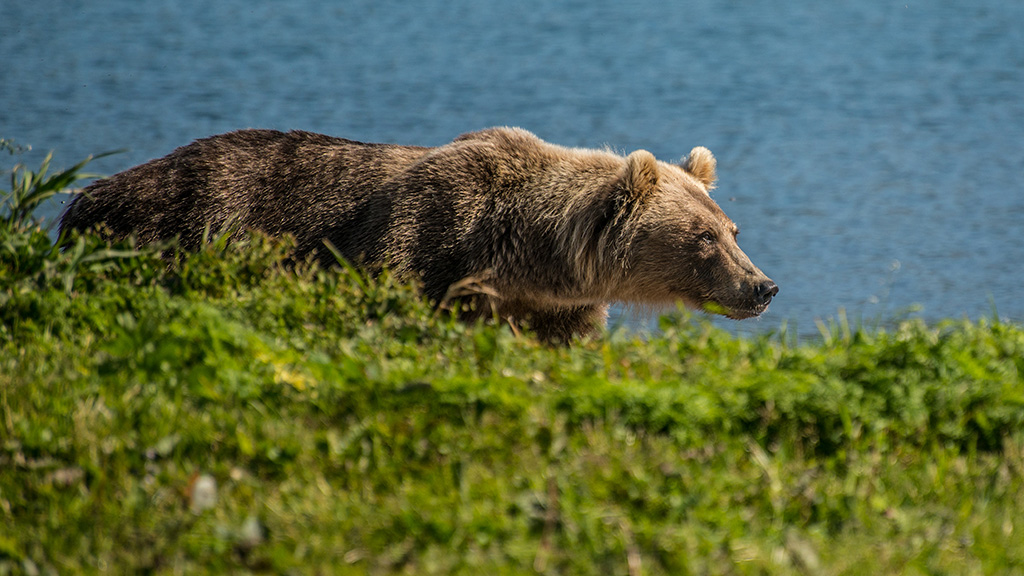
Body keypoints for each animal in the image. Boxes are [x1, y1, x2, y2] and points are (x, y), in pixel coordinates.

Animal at [61, 127, 774, 338]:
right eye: (704, 238)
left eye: (733, 229)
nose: (763, 286)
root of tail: (85, 197)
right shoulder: (415, 244)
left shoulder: (555, 308)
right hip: (174, 227)